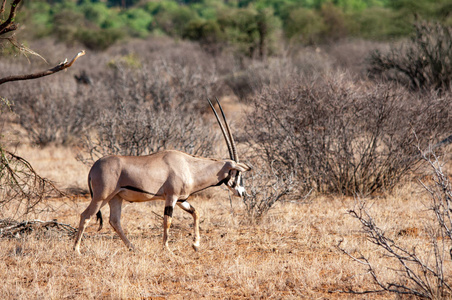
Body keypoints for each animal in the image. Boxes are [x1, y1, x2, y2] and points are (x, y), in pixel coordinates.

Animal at [73, 98, 251, 253]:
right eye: (237, 173)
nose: (242, 193)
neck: (189, 166)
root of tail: (94, 167)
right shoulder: (171, 197)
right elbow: (168, 221)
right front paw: (167, 248)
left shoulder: (181, 199)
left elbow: (196, 213)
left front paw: (195, 244)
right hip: (101, 197)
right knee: (85, 216)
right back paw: (76, 250)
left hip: (115, 198)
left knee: (114, 221)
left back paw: (133, 248)